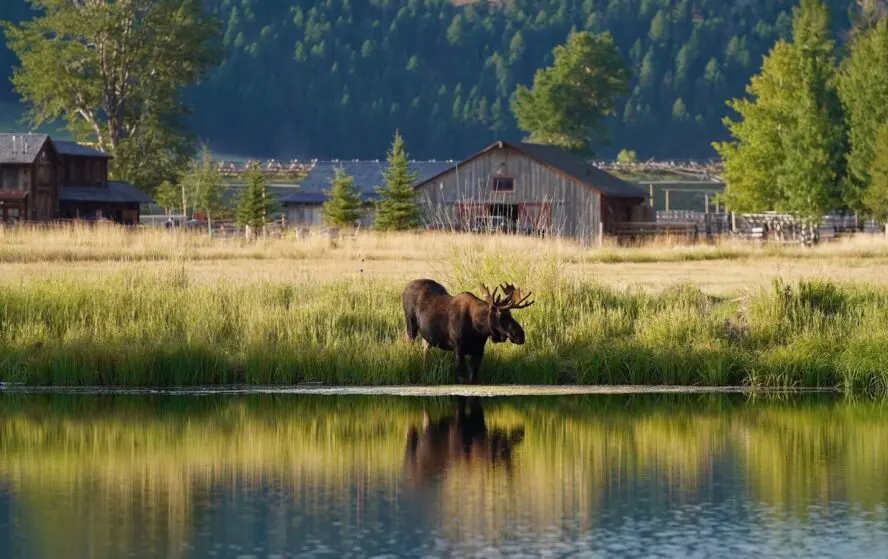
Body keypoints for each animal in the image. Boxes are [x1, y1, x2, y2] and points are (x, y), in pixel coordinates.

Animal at [401, 278, 535, 384]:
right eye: (501, 315)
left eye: (510, 314)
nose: (520, 335)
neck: (478, 330)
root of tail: (405, 287)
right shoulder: (459, 350)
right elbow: (462, 378)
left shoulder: (478, 352)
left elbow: (473, 379)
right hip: (410, 323)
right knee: (409, 343)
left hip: (427, 336)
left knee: (425, 348)